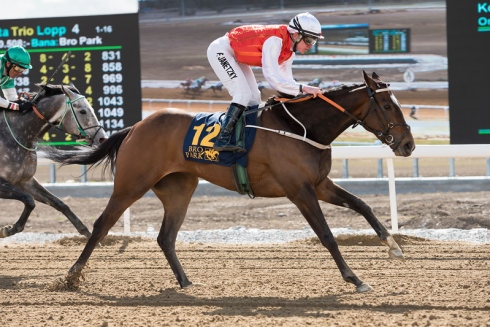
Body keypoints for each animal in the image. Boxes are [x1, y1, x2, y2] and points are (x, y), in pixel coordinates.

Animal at [0, 84, 107, 238]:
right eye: (82, 111)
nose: (102, 138)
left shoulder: (25, 180)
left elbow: (59, 203)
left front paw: (88, 233)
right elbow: (29, 200)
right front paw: (7, 229)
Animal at [47, 72, 414, 292]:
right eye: (385, 105)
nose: (408, 145)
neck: (302, 128)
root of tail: (134, 127)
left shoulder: (320, 184)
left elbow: (363, 206)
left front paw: (394, 247)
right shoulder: (300, 190)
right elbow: (327, 235)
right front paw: (355, 279)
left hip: (179, 189)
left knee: (166, 237)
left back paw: (185, 282)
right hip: (130, 184)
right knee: (102, 225)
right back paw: (71, 276)